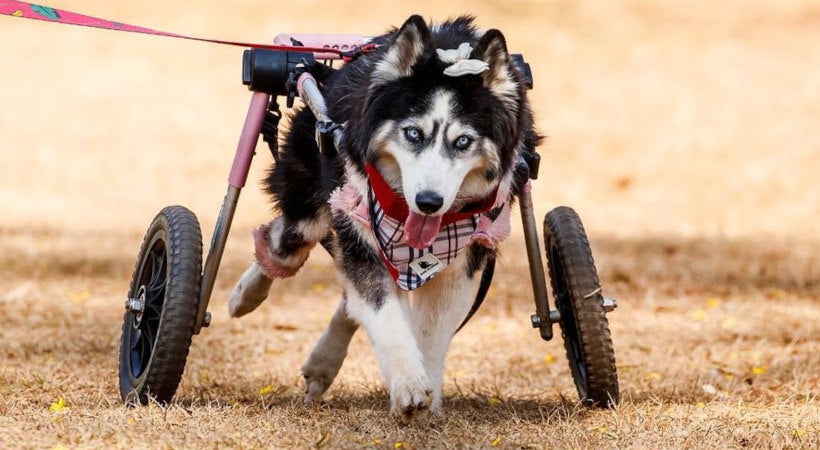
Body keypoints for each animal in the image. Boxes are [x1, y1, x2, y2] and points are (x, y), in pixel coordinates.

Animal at [229, 14, 540, 422]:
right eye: (413, 133)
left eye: (463, 142)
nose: (428, 202)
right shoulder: (359, 228)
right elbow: (386, 316)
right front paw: (408, 383)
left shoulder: (464, 261)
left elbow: (428, 331)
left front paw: (426, 395)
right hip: (311, 204)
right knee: (284, 243)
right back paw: (244, 295)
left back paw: (323, 363)